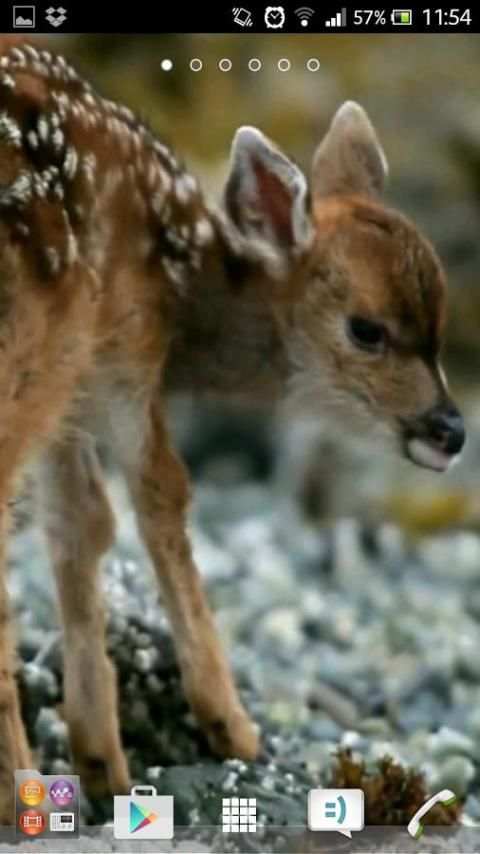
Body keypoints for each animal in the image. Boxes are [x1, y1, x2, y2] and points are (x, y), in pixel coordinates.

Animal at [0, 38, 465, 823]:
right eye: (366, 329)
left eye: (439, 327)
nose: (451, 429)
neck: (185, 287)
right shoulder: (121, 356)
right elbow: (159, 497)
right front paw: (231, 726)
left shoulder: (72, 399)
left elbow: (78, 524)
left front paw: (101, 760)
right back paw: (14, 786)